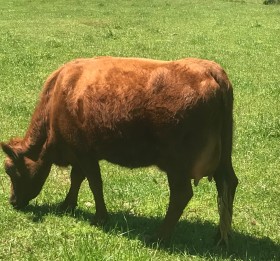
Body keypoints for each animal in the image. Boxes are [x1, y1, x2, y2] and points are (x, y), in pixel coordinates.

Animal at [1, 55, 237, 245]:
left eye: (11, 170)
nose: (12, 201)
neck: (58, 95)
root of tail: (210, 70)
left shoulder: (84, 152)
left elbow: (94, 183)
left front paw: (100, 217)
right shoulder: (80, 152)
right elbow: (77, 178)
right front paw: (67, 205)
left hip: (177, 164)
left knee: (182, 195)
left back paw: (158, 237)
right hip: (223, 157)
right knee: (228, 184)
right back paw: (219, 237)